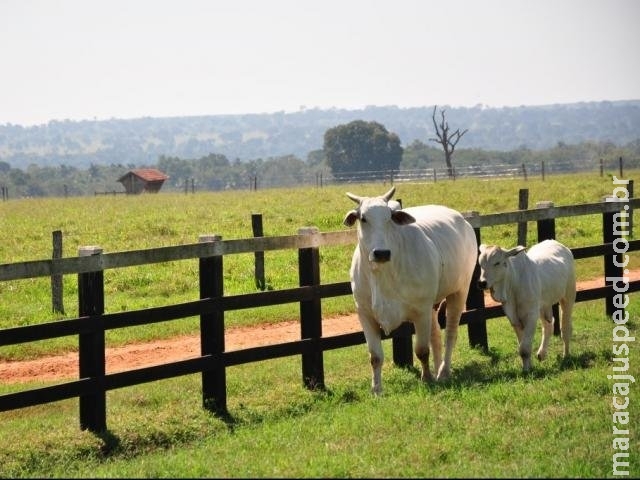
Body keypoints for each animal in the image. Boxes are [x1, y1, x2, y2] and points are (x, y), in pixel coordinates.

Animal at [342, 185, 478, 394]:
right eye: (363, 218)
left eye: (389, 217)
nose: (381, 253)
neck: (381, 273)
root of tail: (462, 220)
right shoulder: (365, 314)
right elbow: (375, 356)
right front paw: (376, 389)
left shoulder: (420, 311)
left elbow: (421, 350)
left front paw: (426, 378)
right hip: (432, 305)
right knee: (436, 336)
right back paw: (438, 370)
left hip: (459, 291)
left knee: (450, 334)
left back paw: (443, 371)